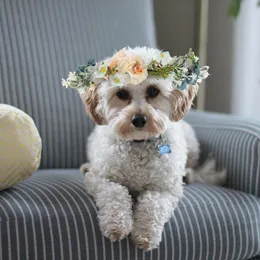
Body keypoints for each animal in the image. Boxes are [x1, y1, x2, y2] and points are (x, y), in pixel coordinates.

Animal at [77, 46, 225, 250]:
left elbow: (152, 205)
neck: (139, 143)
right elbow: (116, 193)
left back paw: (187, 174)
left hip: (192, 143)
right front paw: (117, 225)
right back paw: (85, 167)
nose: (139, 119)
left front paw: (145, 234)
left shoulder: (165, 189)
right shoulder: (101, 179)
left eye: (153, 91)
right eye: (122, 94)